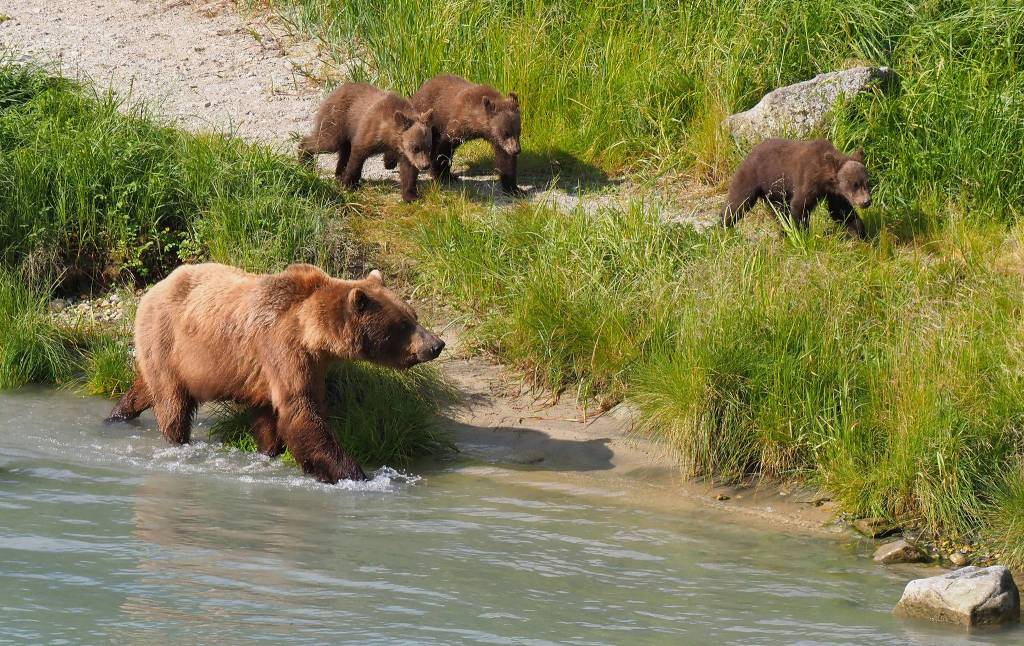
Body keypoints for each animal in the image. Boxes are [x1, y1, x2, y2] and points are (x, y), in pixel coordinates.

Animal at [105, 263, 446, 483]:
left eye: (414, 315)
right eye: (403, 324)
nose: (436, 344)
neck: (313, 334)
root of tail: (154, 288)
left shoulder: (300, 366)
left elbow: (271, 416)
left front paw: (270, 452)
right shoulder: (282, 349)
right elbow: (301, 413)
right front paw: (356, 474)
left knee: (146, 387)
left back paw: (116, 415)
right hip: (169, 340)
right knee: (172, 403)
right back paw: (176, 441)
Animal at [298, 82, 434, 202]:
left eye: (428, 147)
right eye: (415, 147)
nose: (425, 165)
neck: (388, 134)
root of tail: (335, 91)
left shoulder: (404, 152)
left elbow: (408, 170)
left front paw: (410, 196)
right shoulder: (370, 130)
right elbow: (357, 156)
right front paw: (347, 183)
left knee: (344, 151)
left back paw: (338, 173)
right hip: (337, 120)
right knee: (327, 142)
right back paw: (305, 160)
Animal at [721, 138, 872, 238]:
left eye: (867, 183)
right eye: (854, 185)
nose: (866, 202)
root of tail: (750, 153)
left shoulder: (834, 193)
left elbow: (841, 211)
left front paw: (859, 232)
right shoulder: (807, 180)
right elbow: (800, 206)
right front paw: (802, 236)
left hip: (774, 191)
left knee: (779, 211)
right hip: (752, 177)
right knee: (737, 203)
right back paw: (722, 227)